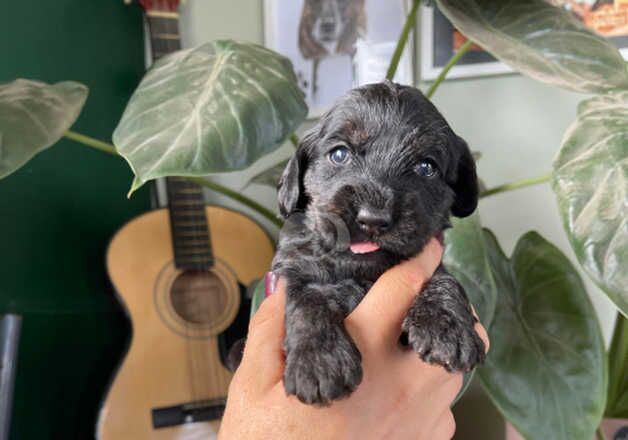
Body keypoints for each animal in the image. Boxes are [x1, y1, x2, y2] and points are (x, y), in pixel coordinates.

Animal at [272, 80, 486, 406]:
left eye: (426, 167)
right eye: (339, 154)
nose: (372, 219)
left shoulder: (431, 259)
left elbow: (443, 278)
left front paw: (447, 325)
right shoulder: (299, 270)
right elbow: (308, 300)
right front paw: (319, 362)